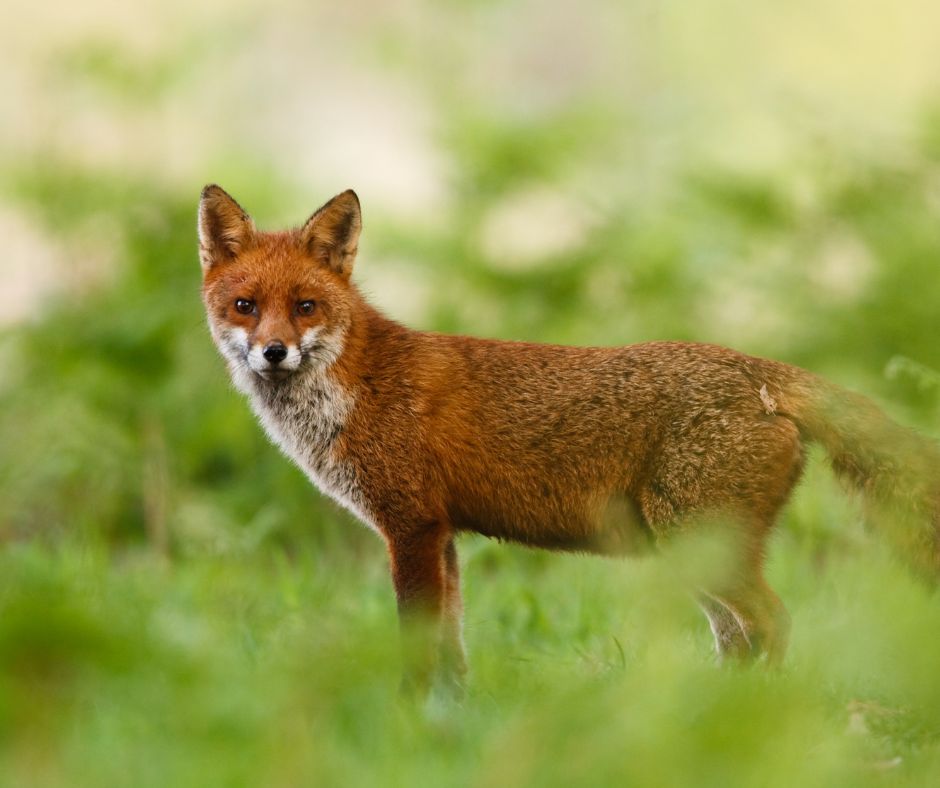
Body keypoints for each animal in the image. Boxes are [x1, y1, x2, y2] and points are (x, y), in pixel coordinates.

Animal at [199, 184, 940, 694]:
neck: (357, 386)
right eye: (244, 306)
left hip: (698, 542)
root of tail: (760, 369)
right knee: (739, 636)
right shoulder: (442, 534)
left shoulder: (410, 526)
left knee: (774, 621)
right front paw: (449, 717)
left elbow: (417, 645)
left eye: (305, 307)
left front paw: (408, 716)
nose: (272, 353)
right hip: (688, 550)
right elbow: (453, 649)